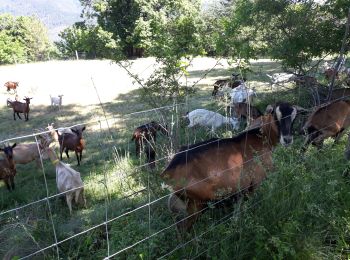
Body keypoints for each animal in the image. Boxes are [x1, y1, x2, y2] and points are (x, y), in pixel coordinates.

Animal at [163, 102, 300, 233]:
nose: (287, 139)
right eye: (276, 117)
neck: (260, 136)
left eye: (294, 118)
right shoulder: (256, 182)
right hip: (196, 205)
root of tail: (167, 173)